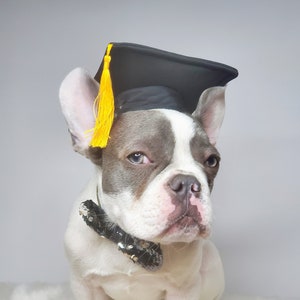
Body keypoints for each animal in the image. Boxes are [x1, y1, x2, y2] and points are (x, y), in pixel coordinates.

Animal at [60, 64, 227, 298]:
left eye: (212, 161)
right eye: (138, 157)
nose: (187, 183)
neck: (131, 241)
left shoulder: (183, 289)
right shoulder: (84, 284)